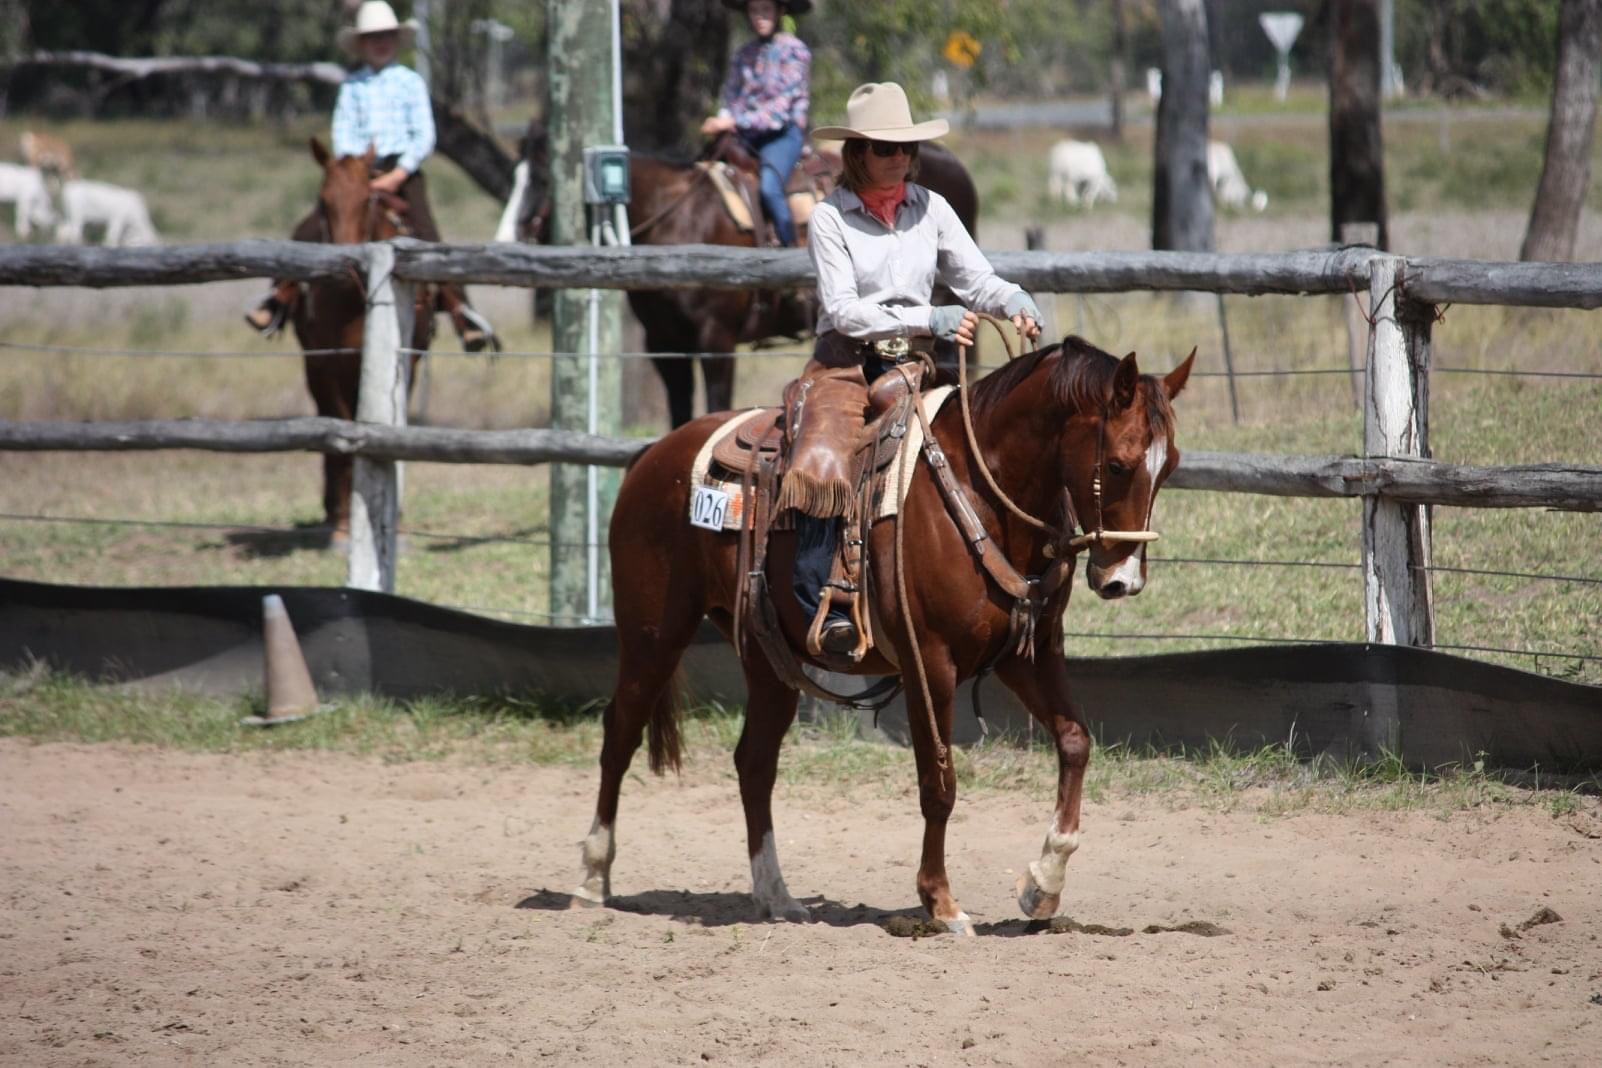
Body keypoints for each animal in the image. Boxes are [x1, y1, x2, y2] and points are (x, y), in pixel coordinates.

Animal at [292, 138, 432, 540]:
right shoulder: (326, 365)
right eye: (323, 201)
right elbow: (341, 437)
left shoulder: (405, 365)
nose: (343, 267)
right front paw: (342, 523)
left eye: (367, 200)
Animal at [573, 335, 1195, 934]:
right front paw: (941, 902)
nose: (1122, 580)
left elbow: (1074, 741)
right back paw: (592, 878)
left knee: (754, 762)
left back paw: (777, 897)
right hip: (653, 631)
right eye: (1119, 464)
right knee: (620, 733)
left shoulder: (1031, 653)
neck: (979, 492)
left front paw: (1042, 884)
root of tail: (654, 453)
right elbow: (938, 784)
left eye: (1169, 466)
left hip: (768, 658)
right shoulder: (930, 662)